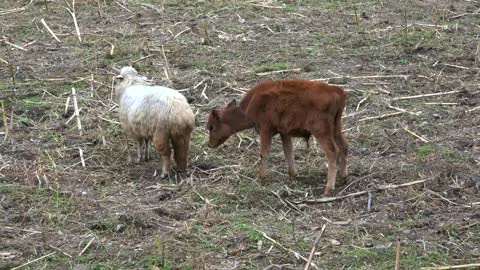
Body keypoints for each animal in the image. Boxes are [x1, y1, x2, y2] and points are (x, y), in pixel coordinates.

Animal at [206, 79, 348, 195]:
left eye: (211, 127)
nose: (209, 144)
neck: (248, 107)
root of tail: (337, 91)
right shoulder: (284, 132)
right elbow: (288, 150)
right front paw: (292, 174)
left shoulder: (265, 129)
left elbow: (264, 153)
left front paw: (261, 178)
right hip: (336, 129)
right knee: (344, 146)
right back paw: (343, 177)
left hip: (321, 131)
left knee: (332, 151)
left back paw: (328, 189)